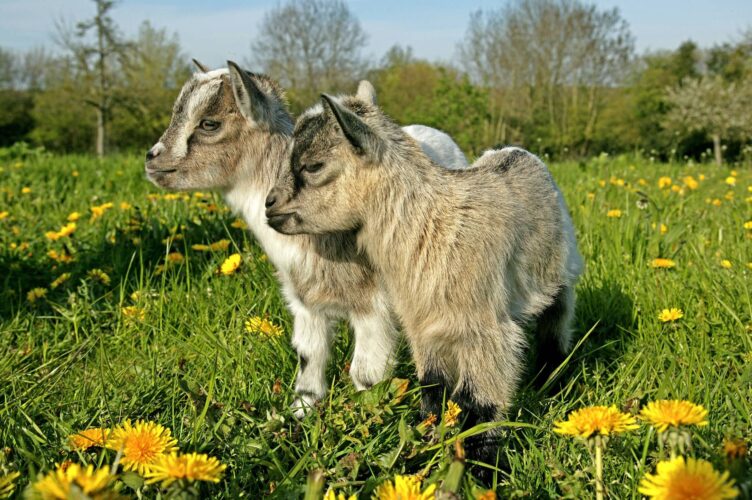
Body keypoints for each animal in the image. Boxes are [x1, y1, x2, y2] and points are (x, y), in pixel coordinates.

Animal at [145, 61, 468, 417]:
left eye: (209, 123)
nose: (151, 159)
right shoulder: (304, 300)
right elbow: (308, 355)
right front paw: (301, 411)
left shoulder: (374, 305)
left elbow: (366, 372)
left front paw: (363, 419)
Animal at [265, 87, 583, 462]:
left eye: (313, 166)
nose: (269, 205)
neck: (431, 224)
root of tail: (515, 151)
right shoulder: (421, 321)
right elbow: (432, 384)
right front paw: (425, 439)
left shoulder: (486, 329)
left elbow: (479, 401)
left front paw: (480, 462)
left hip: (561, 272)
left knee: (557, 321)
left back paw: (552, 379)